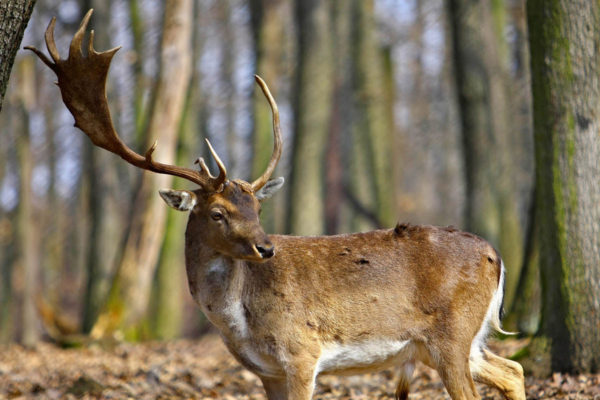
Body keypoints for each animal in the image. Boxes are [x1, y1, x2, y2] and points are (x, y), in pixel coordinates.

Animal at [28, 10, 524, 398]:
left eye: (258, 210)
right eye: (218, 213)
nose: (266, 248)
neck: (239, 322)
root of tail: (495, 255)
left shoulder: (302, 353)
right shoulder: (266, 372)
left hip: (450, 336)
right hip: (460, 343)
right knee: (514, 369)